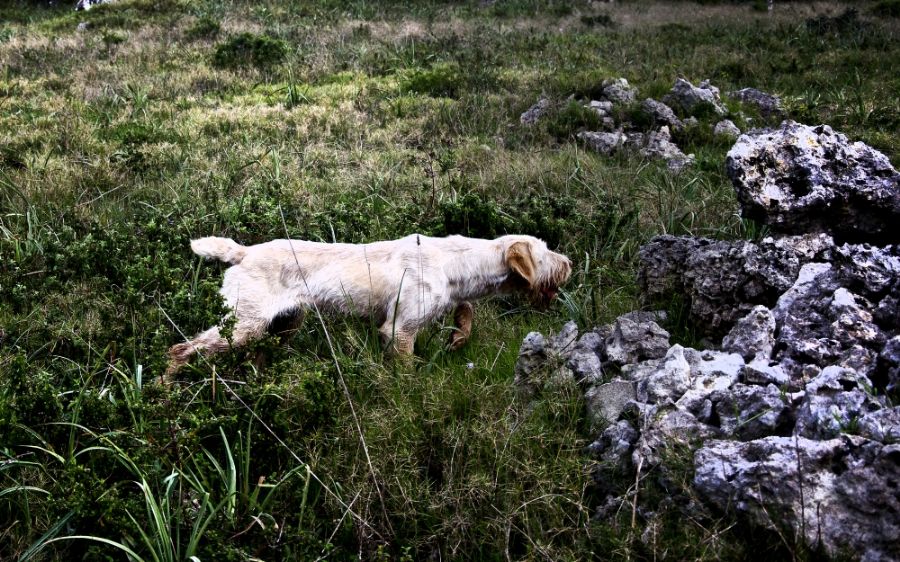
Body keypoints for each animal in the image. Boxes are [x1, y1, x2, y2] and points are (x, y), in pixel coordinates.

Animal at [165, 234, 571, 378]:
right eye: (545, 251)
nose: (568, 263)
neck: (455, 262)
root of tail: (244, 252)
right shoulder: (399, 329)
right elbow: (406, 368)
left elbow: (466, 311)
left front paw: (458, 338)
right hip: (243, 325)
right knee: (179, 350)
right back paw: (164, 390)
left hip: (282, 324)